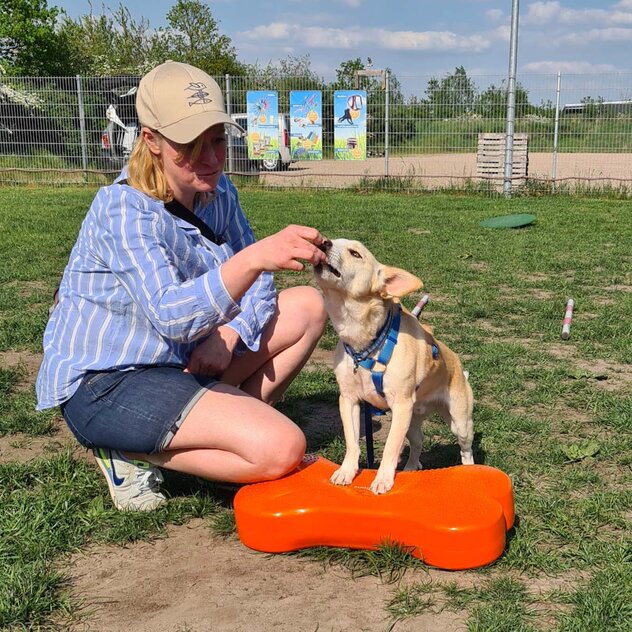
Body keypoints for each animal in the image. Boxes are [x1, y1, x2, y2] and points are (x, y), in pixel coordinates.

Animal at [314, 237, 472, 494]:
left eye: (355, 253)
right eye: (331, 240)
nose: (323, 242)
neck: (364, 345)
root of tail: (458, 364)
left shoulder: (400, 405)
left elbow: (390, 447)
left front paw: (383, 479)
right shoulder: (348, 400)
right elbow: (351, 441)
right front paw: (346, 471)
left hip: (459, 423)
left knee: (466, 450)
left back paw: (469, 470)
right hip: (412, 421)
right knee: (417, 443)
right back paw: (410, 469)